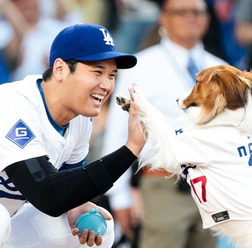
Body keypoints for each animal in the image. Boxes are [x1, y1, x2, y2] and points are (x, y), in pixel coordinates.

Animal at [117, 65, 252, 247]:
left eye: (196, 81)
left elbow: (157, 115)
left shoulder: (174, 147)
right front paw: (129, 103)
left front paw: (139, 98)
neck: (230, 119)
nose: (176, 99)